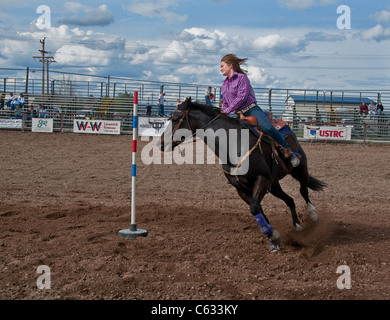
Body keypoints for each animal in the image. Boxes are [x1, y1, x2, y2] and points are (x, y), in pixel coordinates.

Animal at [160, 96, 324, 251]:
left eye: (175, 118)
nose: (161, 143)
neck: (232, 145)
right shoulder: (241, 188)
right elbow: (258, 210)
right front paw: (273, 238)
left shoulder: (262, 179)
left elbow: (255, 208)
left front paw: (272, 236)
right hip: (274, 185)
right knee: (290, 200)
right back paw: (297, 225)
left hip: (300, 169)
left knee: (303, 188)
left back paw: (313, 214)